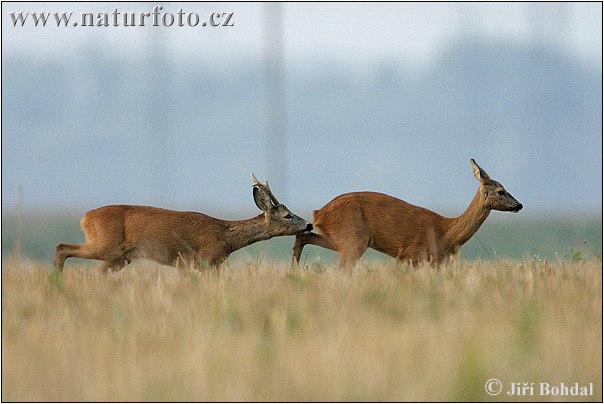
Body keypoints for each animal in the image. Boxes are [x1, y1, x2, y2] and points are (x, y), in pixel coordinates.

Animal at [53, 174, 312, 272]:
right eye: (287, 215)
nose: (308, 225)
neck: (225, 237)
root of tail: (85, 217)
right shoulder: (204, 259)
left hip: (120, 257)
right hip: (106, 245)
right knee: (62, 246)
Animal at [292, 159, 520, 266]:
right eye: (501, 191)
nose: (519, 205)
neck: (445, 233)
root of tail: (319, 213)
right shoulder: (409, 254)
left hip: (342, 238)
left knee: (303, 237)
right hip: (352, 239)